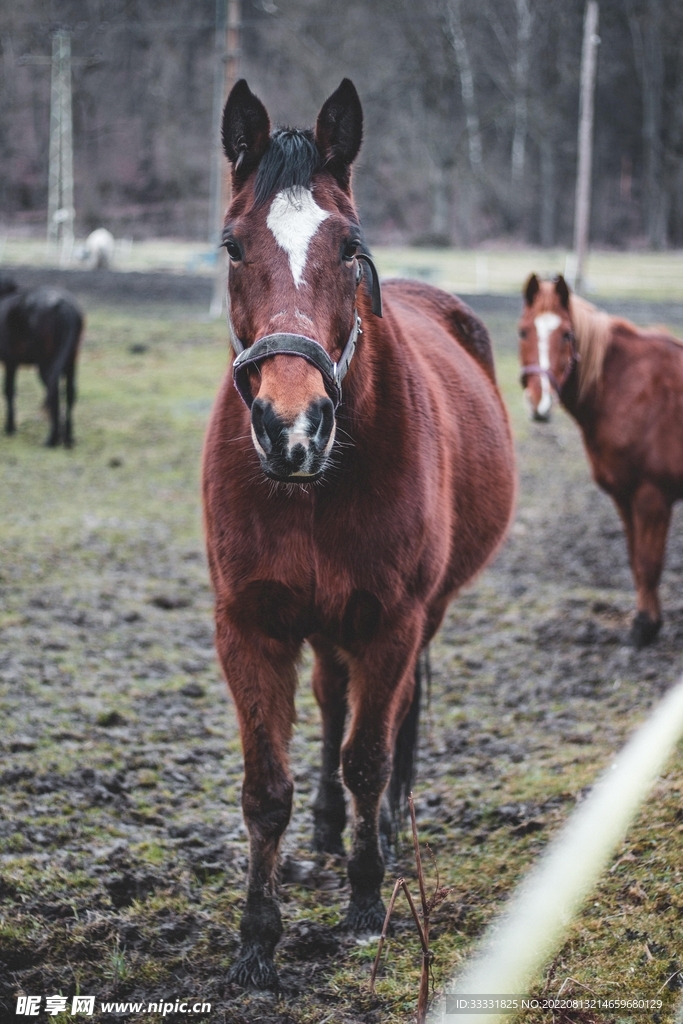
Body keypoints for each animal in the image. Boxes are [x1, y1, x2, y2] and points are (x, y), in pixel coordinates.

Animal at [0, 274, 83, 447]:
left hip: (46, 364)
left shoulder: (10, 362)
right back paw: (68, 439)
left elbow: (8, 391)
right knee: (70, 393)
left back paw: (52, 439)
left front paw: (10, 428)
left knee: (54, 391)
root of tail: (64, 306)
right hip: (71, 362)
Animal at [202, 78, 516, 990]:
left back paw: (380, 831)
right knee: (331, 700)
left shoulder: (390, 621)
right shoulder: (251, 626)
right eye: (232, 245)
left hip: (420, 615)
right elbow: (264, 789)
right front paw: (256, 940)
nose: (291, 424)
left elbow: (370, 755)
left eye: (348, 246)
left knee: (393, 719)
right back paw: (329, 826)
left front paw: (368, 901)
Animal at [519, 273, 683, 648]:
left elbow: (649, 562)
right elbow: (636, 560)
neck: (629, 389)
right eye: (523, 331)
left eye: (567, 334)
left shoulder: (652, 497)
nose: (539, 403)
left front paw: (644, 626)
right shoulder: (624, 496)